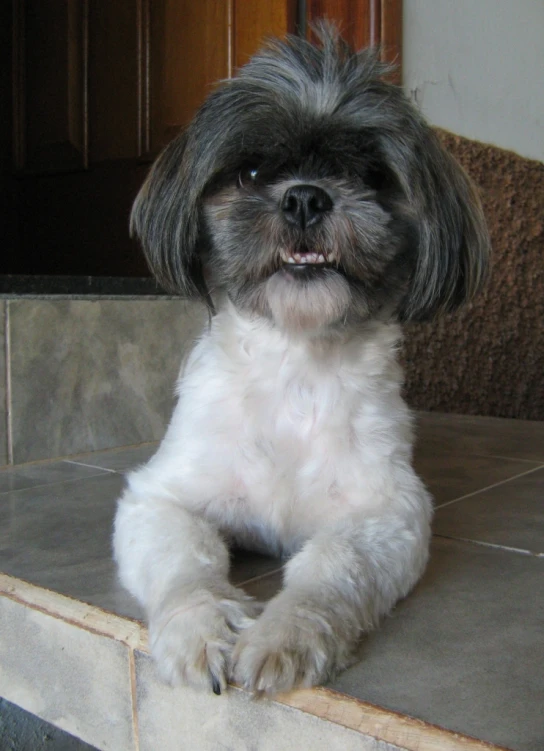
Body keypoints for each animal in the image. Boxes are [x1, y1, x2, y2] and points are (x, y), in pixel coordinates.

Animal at [112, 25, 490, 700]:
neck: (296, 364)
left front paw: (287, 635)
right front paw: (200, 631)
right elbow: (185, 562)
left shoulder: (389, 514)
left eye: (368, 175)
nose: (307, 198)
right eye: (252, 170)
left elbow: (332, 566)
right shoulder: (159, 498)